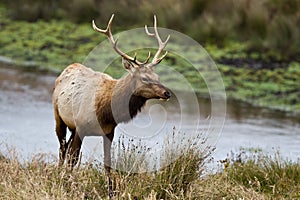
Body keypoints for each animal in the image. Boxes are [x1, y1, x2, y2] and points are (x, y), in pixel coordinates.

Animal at [51, 14, 171, 198]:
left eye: (157, 76)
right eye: (144, 78)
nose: (167, 93)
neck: (105, 111)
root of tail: (68, 67)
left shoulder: (109, 132)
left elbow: (108, 163)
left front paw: (111, 192)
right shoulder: (80, 127)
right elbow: (73, 158)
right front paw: (68, 186)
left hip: (71, 126)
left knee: (65, 148)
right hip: (59, 116)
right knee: (62, 148)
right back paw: (58, 174)